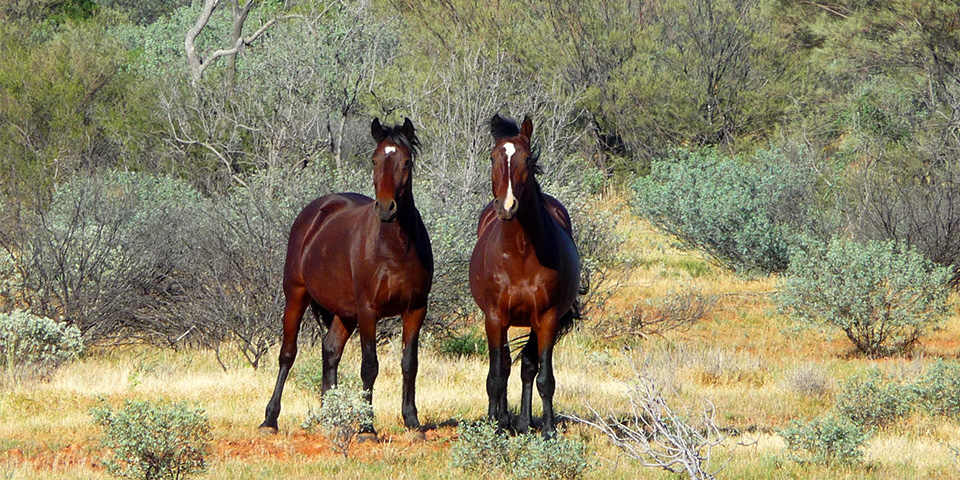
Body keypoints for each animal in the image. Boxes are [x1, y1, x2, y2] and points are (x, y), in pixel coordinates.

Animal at [258, 117, 432, 438]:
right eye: (374, 160)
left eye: (406, 162)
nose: (386, 208)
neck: (395, 248)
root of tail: (317, 210)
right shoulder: (368, 311)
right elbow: (370, 366)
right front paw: (366, 428)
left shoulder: (415, 309)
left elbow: (409, 364)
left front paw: (412, 422)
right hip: (297, 296)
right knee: (287, 354)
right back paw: (269, 420)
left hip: (344, 313)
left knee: (330, 351)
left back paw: (329, 417)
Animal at [468, 114, 580, 436]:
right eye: (492, 157)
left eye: (527, 159)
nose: (507, 207)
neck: (519, 252)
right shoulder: (494, 318)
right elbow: (496, 375)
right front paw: (494, 426)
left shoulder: (547, 318)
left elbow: (543, 376)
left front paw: (548, 430)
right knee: (505, 365)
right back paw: (503, 419)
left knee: (527, 366)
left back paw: (523, 421)